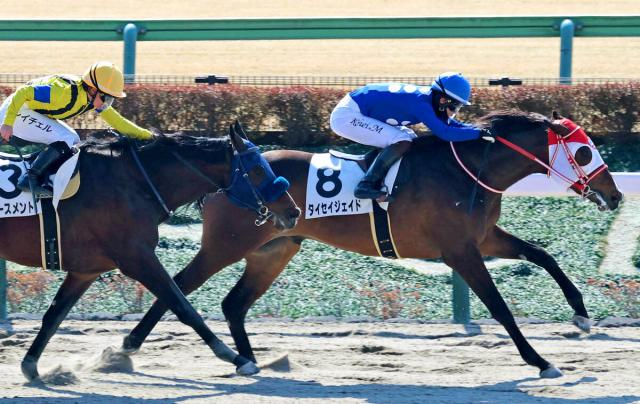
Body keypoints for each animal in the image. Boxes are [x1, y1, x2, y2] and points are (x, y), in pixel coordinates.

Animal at [0, 124, 301, 381]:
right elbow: (183, 307)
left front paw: (31, 366)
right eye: (258, 169)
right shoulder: (137, 258)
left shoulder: (86, 270)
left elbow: (53, 316)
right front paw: (237, 358)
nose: (293, 211)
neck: (135, 183)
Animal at [122, 112, 623, 378]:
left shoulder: (483, 237)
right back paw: (127, 346)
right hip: (224, 246)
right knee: (177, 285)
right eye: (584, 152)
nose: (615, 195)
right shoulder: (460, 250)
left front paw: (581, 313)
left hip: (275, 249)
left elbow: (542, 254)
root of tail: (223, 179)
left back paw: (249, 358)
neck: (466, 169)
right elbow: (500, 307)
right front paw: (541, 361)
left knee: (233, 303)